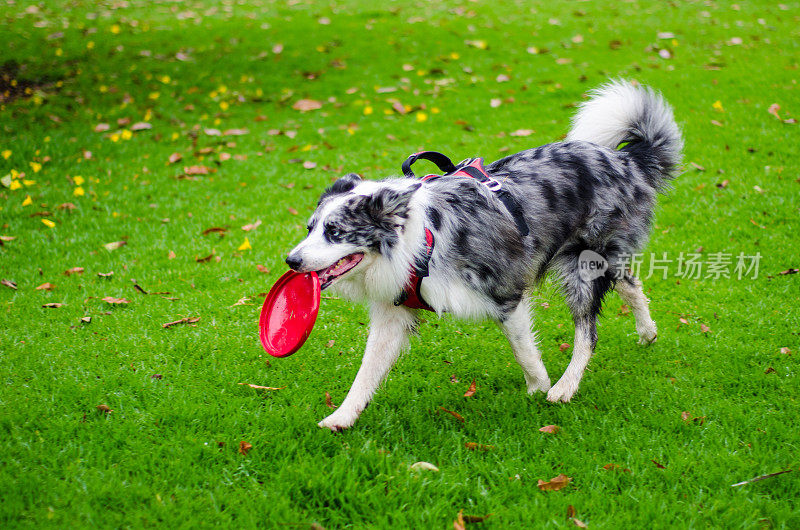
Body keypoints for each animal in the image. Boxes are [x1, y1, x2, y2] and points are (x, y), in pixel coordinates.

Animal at [284, 81, 684, 428]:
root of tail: (626, 159)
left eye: (335, 232)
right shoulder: (392, 314)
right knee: (630, 282)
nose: (292, 261)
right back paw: (647, 332)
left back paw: (566, 387)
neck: (420, 240)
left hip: (583, 266)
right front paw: (341, 417)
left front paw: (538, 387)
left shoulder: (505, 294)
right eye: (310, 228)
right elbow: (366, 373)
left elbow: (524, 350)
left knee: (588, 331)